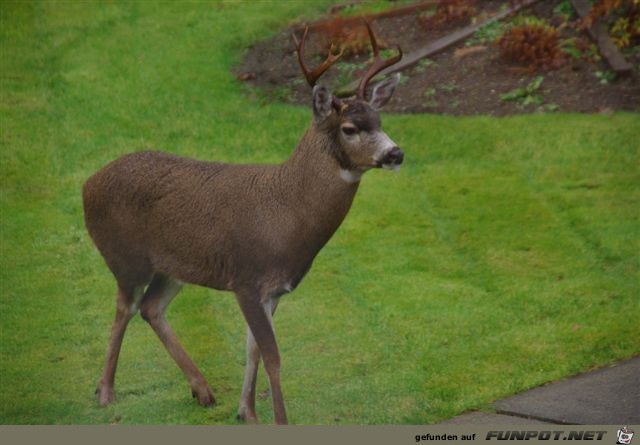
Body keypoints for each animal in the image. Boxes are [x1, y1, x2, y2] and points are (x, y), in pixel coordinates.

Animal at [84, 21, 404, 424]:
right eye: (349, 128)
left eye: (380, 120)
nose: (395, 153)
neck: (287, 214)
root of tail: (86, 185)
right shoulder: (247, 280)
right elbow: (273, 357)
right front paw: (279, 420)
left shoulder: (274, 290)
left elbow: (252, 350)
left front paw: (246, 412)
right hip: (125, 257)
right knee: (124, 308)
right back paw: (105, 391)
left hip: (172, 267)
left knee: (151, 308)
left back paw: (202, 390)